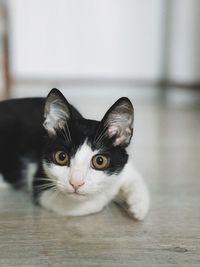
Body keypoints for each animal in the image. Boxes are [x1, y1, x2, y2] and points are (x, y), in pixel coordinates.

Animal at [0, 89, 149, 221]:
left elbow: (134, 178)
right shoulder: (40, 182)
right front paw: (112, 197)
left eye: (100, 161)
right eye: (61, 157)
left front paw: (138, 206)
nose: (75, 183)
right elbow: (94, 202)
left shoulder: (123, 164)